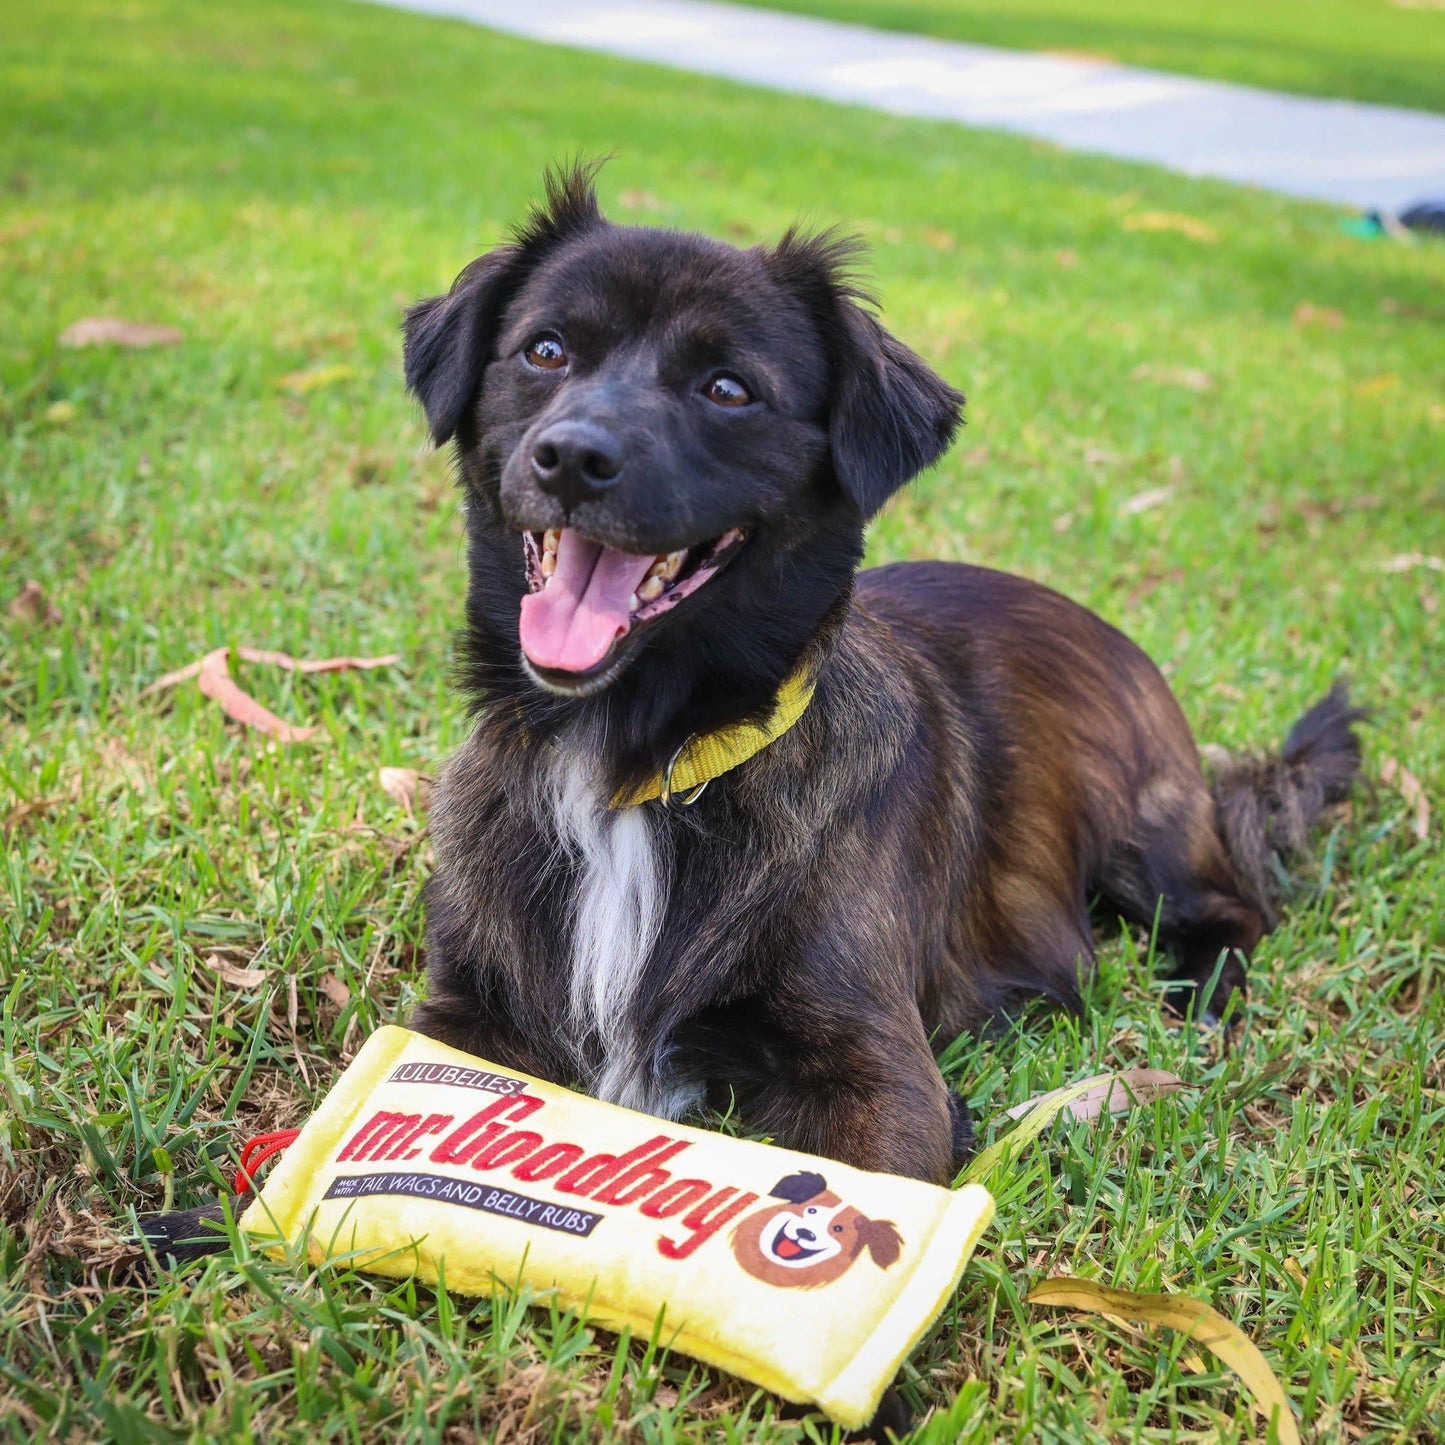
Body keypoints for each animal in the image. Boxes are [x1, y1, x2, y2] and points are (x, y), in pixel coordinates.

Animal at [398, 166, 1364, 1184]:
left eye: (727, 387)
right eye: (546, 350)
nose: (575, 457)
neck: (633, 766)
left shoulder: (880, 1070)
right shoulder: (459, 1014)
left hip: (1147, 839)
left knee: (1231, 907)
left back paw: (1202, 995)